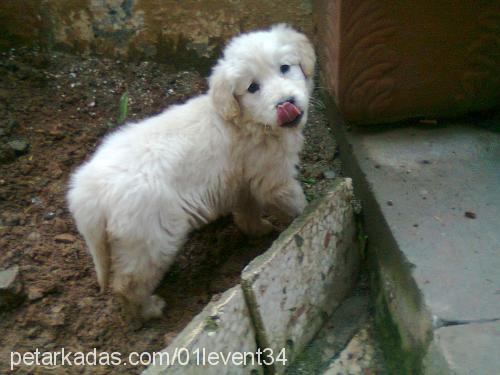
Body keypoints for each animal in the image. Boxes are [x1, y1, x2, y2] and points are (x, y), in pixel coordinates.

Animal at [67, 25, 316, 320]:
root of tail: (88, 190)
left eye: (285, 68)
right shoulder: (274, 177)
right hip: (151, 239)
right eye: (253, 87)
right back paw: (148, 309)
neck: (244, 121)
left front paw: (259, 230)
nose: (285, 103)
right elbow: (295, 201)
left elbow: (247, 213)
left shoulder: (244, 182)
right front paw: (306, 213)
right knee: (127, 284)